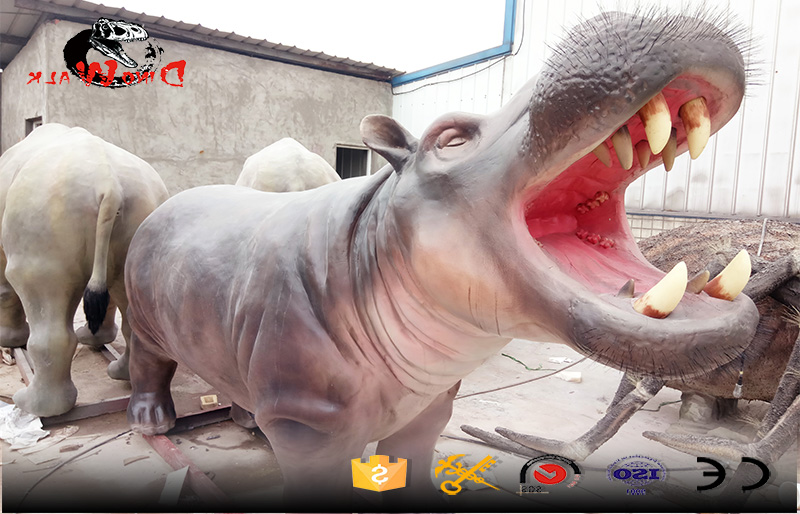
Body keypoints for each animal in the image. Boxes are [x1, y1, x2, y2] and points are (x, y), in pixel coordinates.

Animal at [0, 124, 168, 416]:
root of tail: (109, 184)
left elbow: (6, 289)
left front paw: (8, 341)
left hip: (45, 207)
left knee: (39, 289)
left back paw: (34, 406)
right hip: (142, 203)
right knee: (123, 290)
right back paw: (119, 373)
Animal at [125, 10, 756, 509]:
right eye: (449, 139)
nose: (652, 18)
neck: (372, 248)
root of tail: (173, 199)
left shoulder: (430, 401)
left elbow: (413, 455)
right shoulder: (311, 425)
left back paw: (247, 420)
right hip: (145, 312)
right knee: (149, 359)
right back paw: (153, 422)